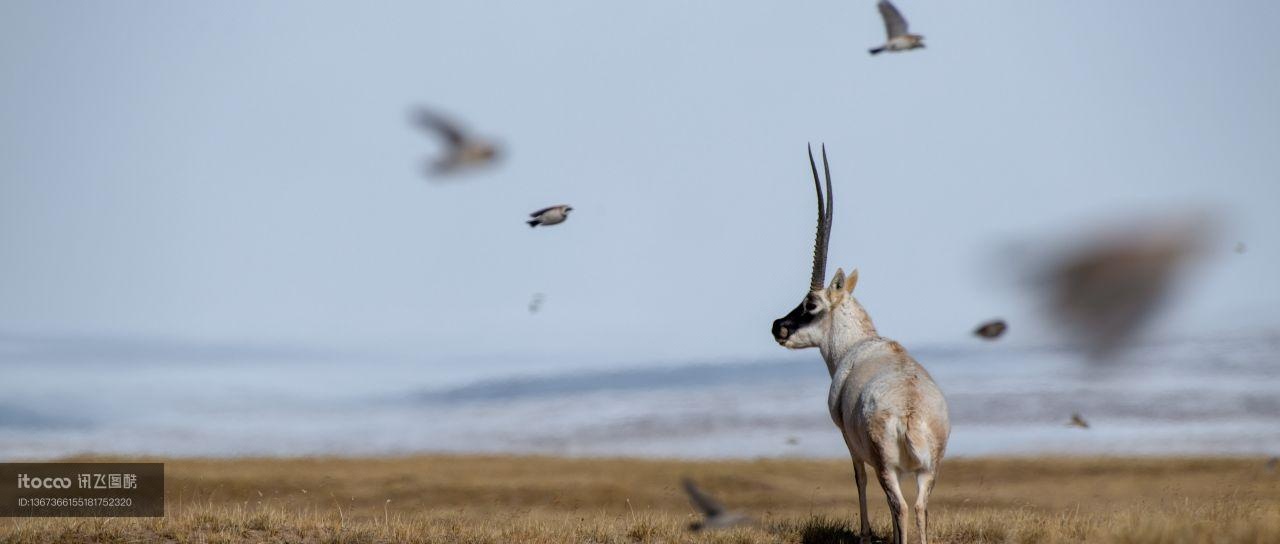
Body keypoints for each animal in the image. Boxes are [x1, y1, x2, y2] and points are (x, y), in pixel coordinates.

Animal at [768, 144, 952, 542]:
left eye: (811, 304)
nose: (778, 327)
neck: (860, 344)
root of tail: (910, 413)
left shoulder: (848, 440)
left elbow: (858, 479)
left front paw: (865, 533)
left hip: (888, 465)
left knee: (899, 505)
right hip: (929, 470)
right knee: (919, 507)